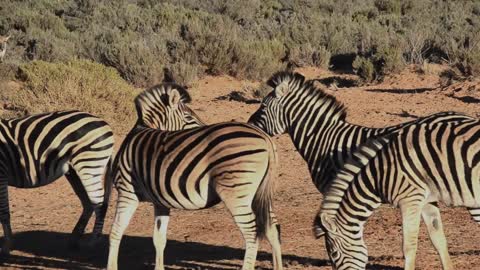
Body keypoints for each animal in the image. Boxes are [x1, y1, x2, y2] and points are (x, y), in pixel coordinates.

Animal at [0, 110, 113, 255]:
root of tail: (104, 123)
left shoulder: (2, 174)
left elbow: (4, 212)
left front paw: (7, 246)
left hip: (89, 164)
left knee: (99, 203)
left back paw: (93, 242)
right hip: (74, 172)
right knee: (88, 204)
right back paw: (74, 240)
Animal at [107, 83, 284, 270]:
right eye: (188, 117)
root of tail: (265, 137)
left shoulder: (127, 192)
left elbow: (115, 230)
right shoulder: (160, 201)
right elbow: (159, 238)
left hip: (236, 192)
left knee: (251, 233)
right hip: (260, 193)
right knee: (272, 228)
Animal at [314, 118, 478, 270]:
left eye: (334, 254)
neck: (379, 175)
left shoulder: (410, 199)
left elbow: (408, 246)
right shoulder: (427, 200)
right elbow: (438, 238)